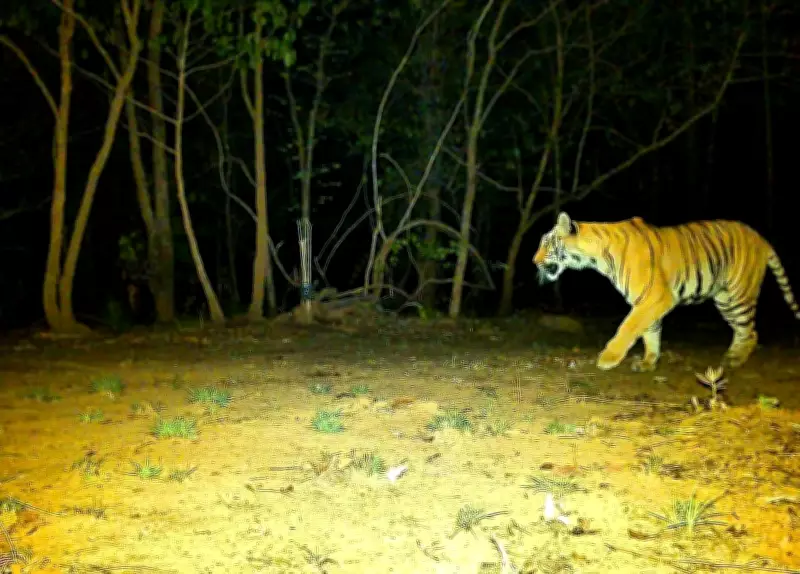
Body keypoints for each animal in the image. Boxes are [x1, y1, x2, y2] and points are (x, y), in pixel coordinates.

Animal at [533, 212, 800, 372]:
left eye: (546, 243)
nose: (533, 261)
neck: (597, 257)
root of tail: (760, 237)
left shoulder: (656, 297)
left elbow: (629, 327)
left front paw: (608, 358)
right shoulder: (647, 300)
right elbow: (650, 332)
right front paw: (648, 362)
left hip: (739, 295)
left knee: (751, 332)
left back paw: (735, 360)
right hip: (725, 298)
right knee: (743, 330)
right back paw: (730, 357)